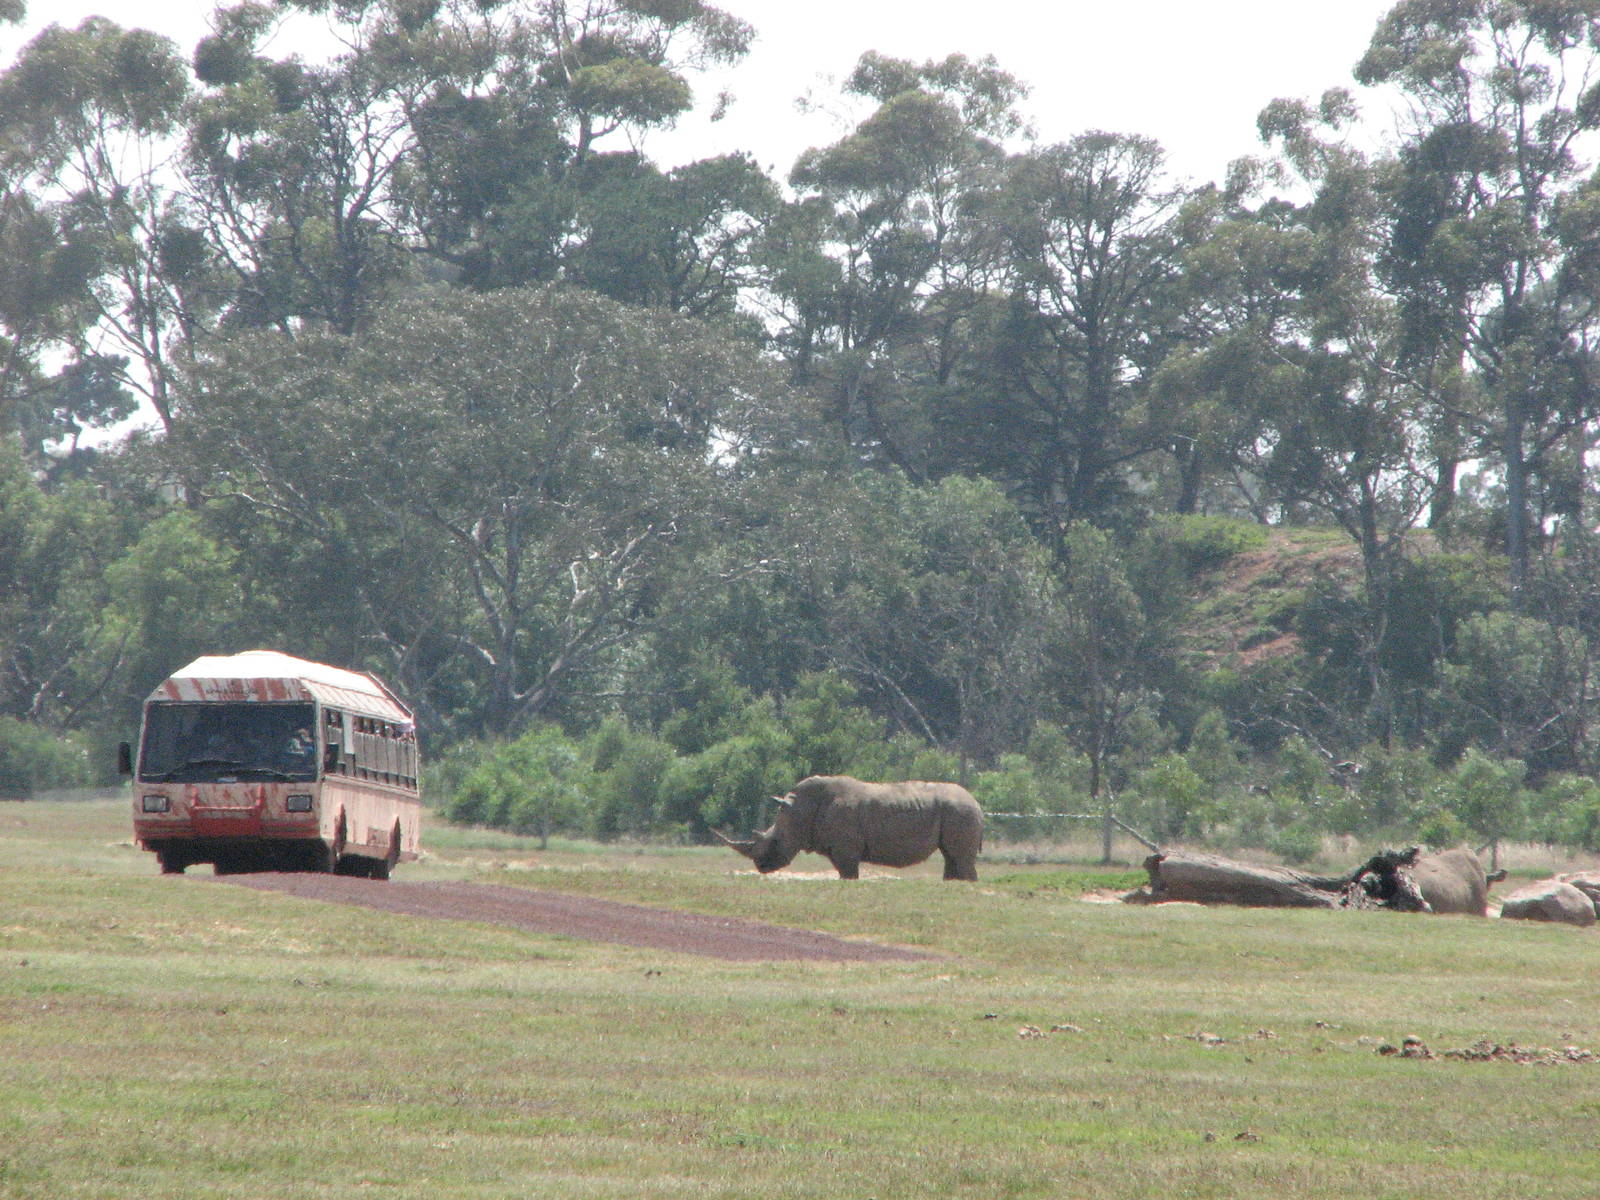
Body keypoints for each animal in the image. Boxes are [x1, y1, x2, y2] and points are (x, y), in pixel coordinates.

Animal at [717, 775, 983, 880]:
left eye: (775, 841)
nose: (761, 867)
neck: (800, 808)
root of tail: (977, 802)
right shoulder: (837, 847)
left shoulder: (846, 848)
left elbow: (848, 874)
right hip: (957, 812)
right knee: (951, 857)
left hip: (960, 811)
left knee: (960, 857)